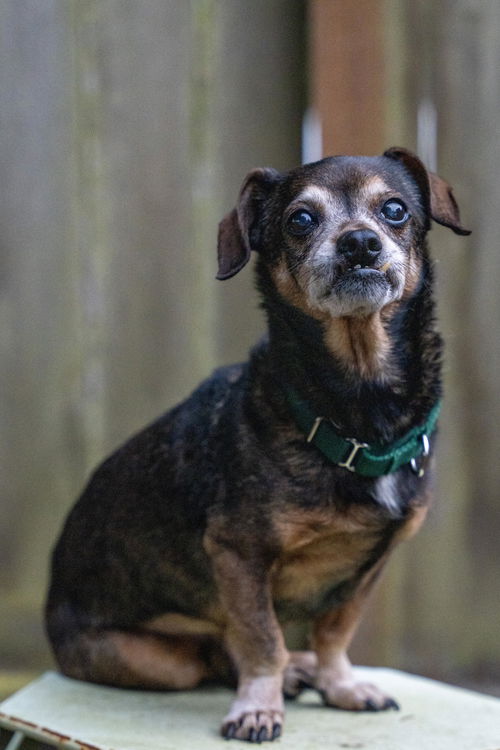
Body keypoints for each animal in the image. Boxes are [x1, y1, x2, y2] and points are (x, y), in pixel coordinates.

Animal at [45, 148, 470, 748]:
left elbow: (335, 630)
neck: (357, 409)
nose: (360, 243)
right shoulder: (238, 554)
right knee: (213, 655)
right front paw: (259, 706)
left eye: (394, 209)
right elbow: (262, 637)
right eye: (300, 219)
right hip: (155, 659)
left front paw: (341, 685)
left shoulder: (372, 563)